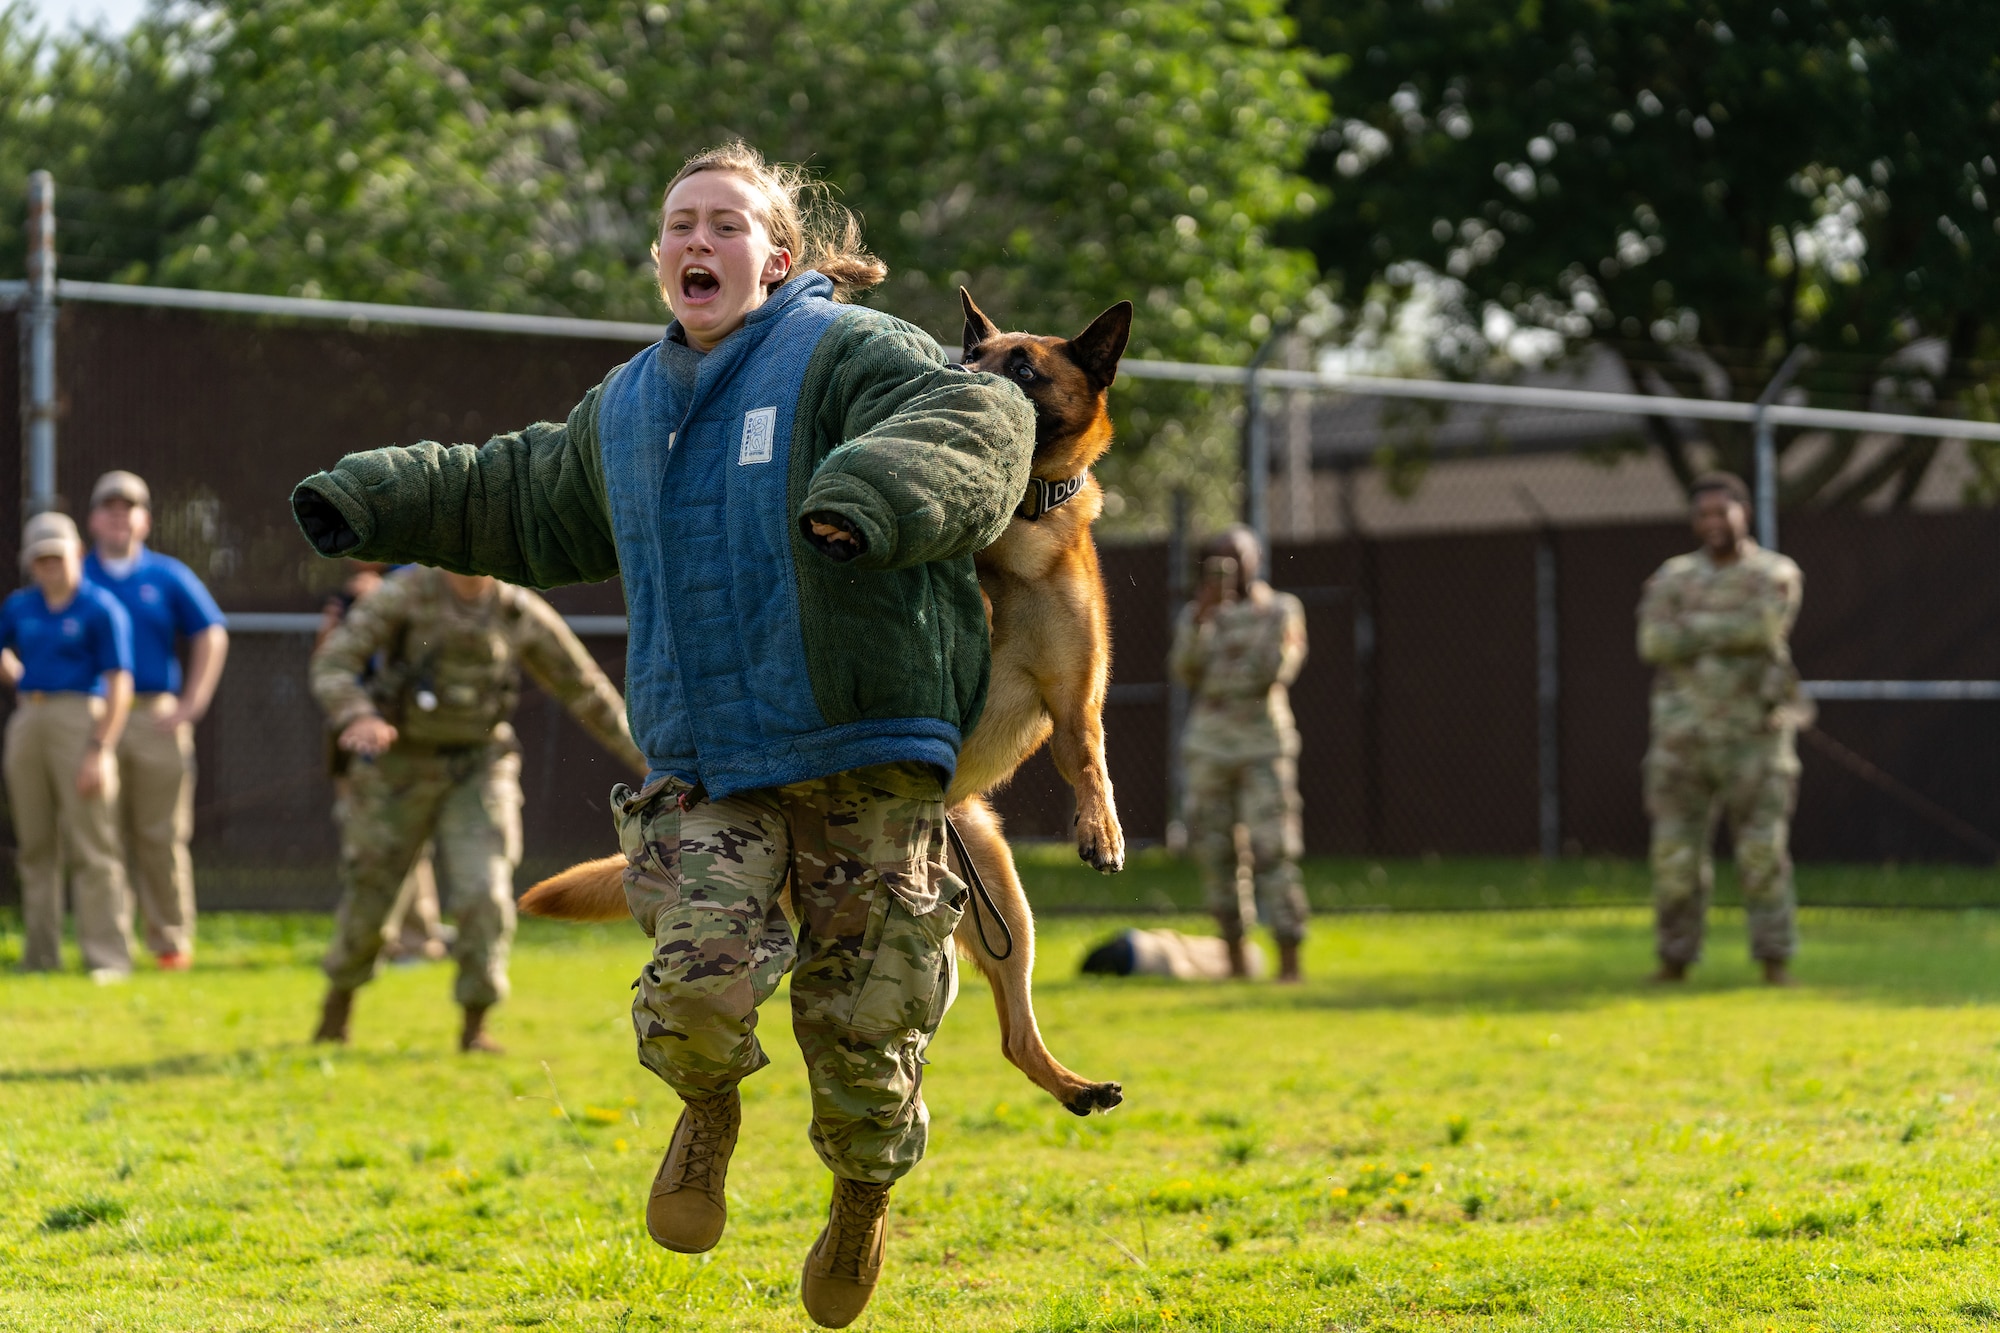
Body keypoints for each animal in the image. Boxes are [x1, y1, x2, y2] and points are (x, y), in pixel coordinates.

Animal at [524, 288, 1136, 1112]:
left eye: (1025, 368)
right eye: (971, 355)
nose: (954, 373)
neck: (1024, 525)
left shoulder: (1075, 707)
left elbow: (1093, 760)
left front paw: (1102, 830)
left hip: (1002, 904)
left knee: (1010, 1031)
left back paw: (1075, 1087)